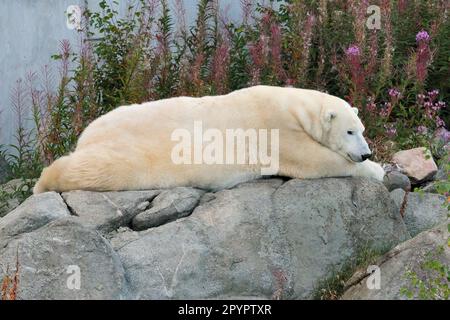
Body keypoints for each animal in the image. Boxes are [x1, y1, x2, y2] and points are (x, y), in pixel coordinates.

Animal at [33, 85, 384, 194]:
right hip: (135, 154)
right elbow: (316, 161)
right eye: (350, 131)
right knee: (97, 168)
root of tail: (86, 136)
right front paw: (378, 170)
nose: (366, 153)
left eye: (363, 129)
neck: (294, 106)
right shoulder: (276, 129)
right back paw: (43, 182)